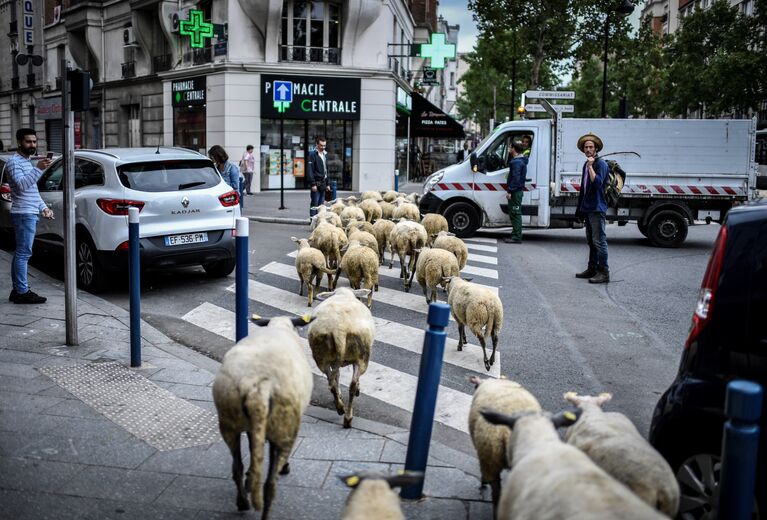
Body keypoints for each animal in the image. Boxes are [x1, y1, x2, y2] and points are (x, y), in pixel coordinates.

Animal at [212, 316, 314, 516]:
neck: (280, 326)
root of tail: (258, 385)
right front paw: (284, 467)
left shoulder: (253, 429)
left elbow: (252, 451)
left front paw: (250, 478)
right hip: (283, 426)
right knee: (270, 485)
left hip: (229, 421)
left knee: (236, 466)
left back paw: (243, 501)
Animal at [308, 288, 376, 426]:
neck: (343, 294)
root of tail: (340, 330)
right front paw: (358, 389)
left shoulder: (334, 361)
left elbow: (337, 376)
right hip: (362, 357)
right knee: (352, 385)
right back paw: (348, 418)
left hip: (321, 357)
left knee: (331, 383)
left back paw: (340, 407)